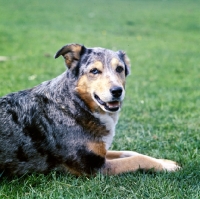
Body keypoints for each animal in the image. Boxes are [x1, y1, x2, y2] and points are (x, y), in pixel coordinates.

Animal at [0, 43, 180, 176]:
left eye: (120, 69)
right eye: (94, 71)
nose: (117, 91)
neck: (74, 104)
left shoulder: (100, 152)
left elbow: (131, 153)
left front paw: (164, 162)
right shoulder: (93, 168)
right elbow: (135, 160)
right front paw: (166, 167)